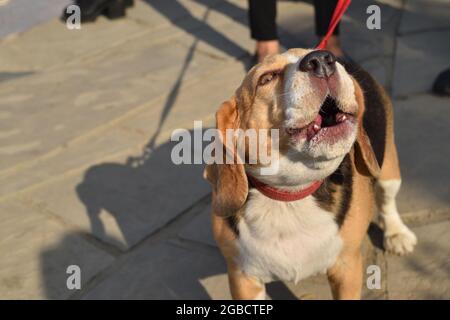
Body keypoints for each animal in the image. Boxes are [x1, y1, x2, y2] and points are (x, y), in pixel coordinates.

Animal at [204, 48, 418, 298]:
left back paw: (396, 234)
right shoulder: (243, 278)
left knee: (386, 200)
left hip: (388, 171)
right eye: (266, 78)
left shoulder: (347, 268)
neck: (290, 196)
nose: (321, 60)